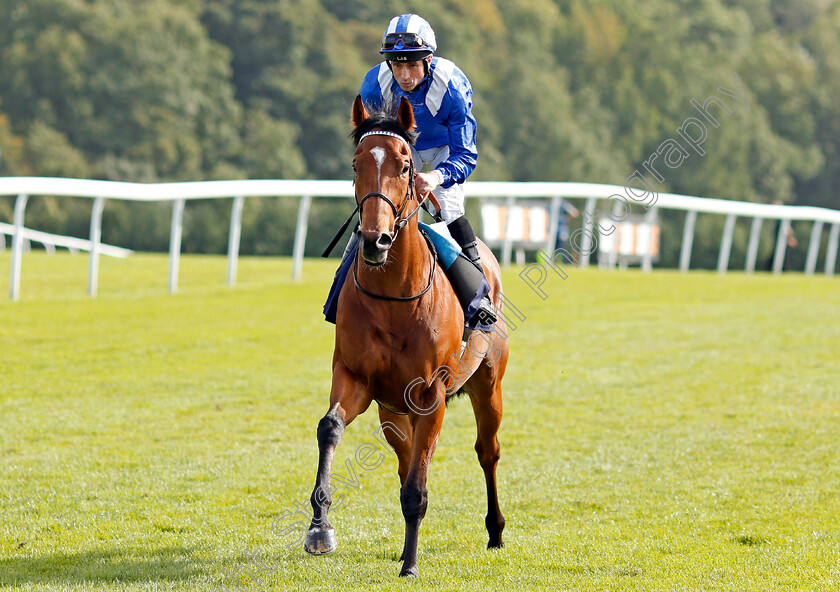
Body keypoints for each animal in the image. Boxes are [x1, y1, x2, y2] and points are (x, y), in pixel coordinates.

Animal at [306, 95, 508, 576]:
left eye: (403, 165)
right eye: (356, 163)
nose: (375, 240)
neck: (395, 297)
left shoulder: (432, 392)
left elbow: (418, 488)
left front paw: (411, 566)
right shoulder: (356, 377)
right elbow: (330, 428)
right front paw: (320, 526)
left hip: (488, 385)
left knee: (486, 451)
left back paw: (494, 531)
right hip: (393, 411)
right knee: (405, 461)